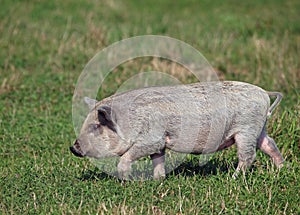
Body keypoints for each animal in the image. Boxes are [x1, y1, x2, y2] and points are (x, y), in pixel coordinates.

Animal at [69, 81, 284, 179]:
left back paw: (232, 178)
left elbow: (127, 156)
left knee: (248, 156)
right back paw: (281, 168)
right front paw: (158, 180)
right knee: (270, 144)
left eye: (96, 126)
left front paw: (125, 179)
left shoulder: (152, 139)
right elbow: (158, 160)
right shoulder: (160, 144)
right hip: (259, 128)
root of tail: (264, 93)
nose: (73, 147)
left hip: (246, 129)